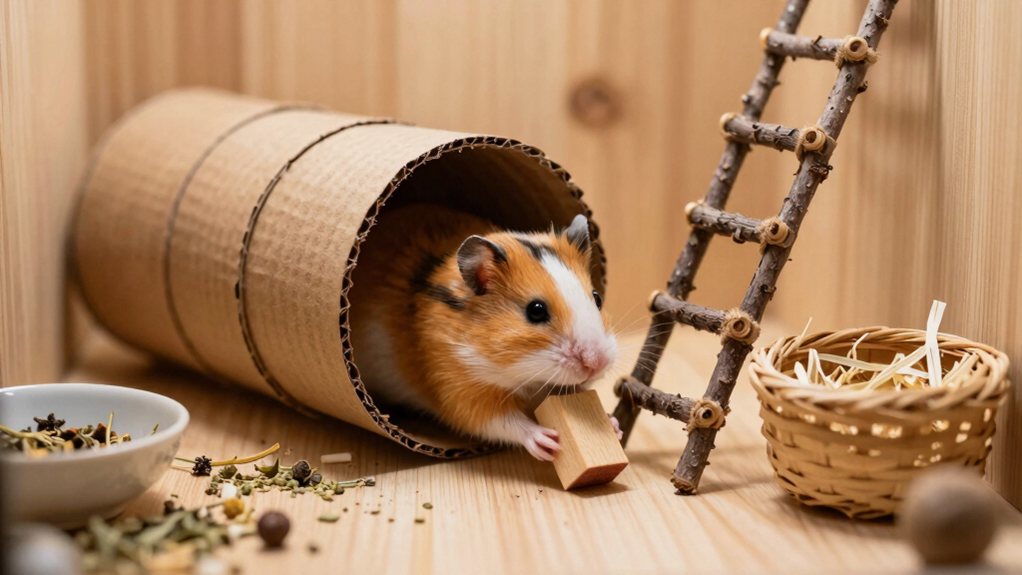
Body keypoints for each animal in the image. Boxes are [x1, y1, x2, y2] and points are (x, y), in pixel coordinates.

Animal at [349, 204, 618, 460]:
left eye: (596, 298)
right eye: (536, 311)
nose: (598, 364)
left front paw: (613, 423)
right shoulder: (460, 389)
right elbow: (504, 422)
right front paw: (549, 442)